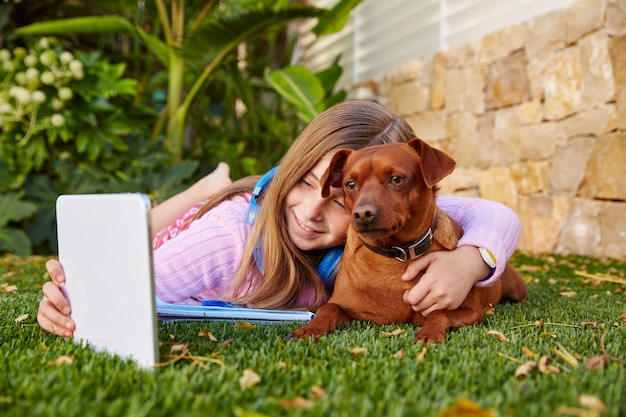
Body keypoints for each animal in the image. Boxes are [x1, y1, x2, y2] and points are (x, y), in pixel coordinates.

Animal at [290, 136, 524, 342]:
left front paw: (429, 333)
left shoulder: (471, 311)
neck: (395, 253)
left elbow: (438, 313)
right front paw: (311, 328)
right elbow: (327, 308)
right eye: (350, 184)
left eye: (396, 179)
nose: (362, 214)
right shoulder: (345, 307)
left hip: (517, 290)